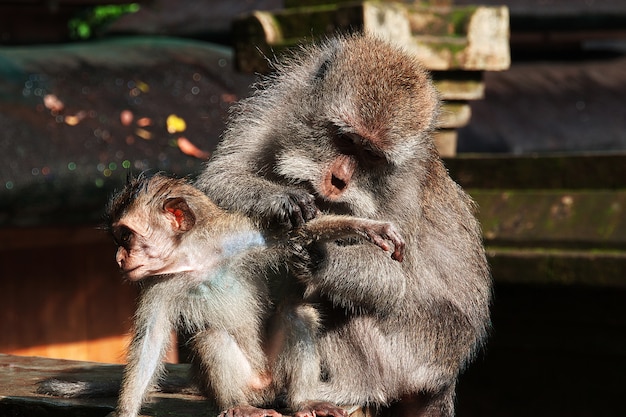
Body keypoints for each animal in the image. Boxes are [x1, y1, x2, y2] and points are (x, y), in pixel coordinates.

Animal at [100, 173, 402, 416]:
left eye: (126, 236)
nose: (119, 258)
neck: (196, 258)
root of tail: (264, 386)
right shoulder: (157, 286)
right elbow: (150, 343)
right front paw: (125, 411)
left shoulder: (238, 238)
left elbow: (295, 234)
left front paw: (368, 227)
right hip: (247, 384)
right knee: (211, 336)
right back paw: (239, 405)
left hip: (275, 373)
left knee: (296, 313)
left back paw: (304, 401)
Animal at [197, 35, 490, 416]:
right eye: (346, 139)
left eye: (372, 156)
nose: (338, 180)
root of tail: (447, 378)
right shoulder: (278, 105)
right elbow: (220, 176)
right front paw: (281, 199)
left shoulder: (404, 193)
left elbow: (393, 281)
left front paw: (322, 257)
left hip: (412, 358)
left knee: (343, 305)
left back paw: (344, 390)